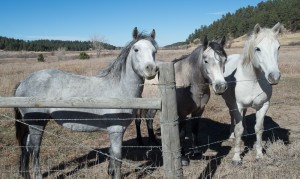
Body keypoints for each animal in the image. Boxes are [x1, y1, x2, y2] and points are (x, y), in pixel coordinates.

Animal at [136, 35, 227, 166]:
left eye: (225, 60)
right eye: (205, 61)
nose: (221, 87)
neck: (191, 82)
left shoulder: (198, 111)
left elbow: (194, 129)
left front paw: (196, 151)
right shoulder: (182, 114)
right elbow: (182, 134)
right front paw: (183, 157)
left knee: (149, 118)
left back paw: (154, 141)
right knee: (138, 120)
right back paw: (139, 141)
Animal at [223, 22, 284, 165]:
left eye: (278, 47)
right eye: (258, 49)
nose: (274, 77)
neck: (252, 79)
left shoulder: (263, 106)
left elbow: (259, 128)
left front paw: (259, 155)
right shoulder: (238, 105)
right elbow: (238, 129)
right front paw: (236, 158)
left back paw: (246, 132)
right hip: (230, 103)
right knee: (232, 117)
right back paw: (231, 135)